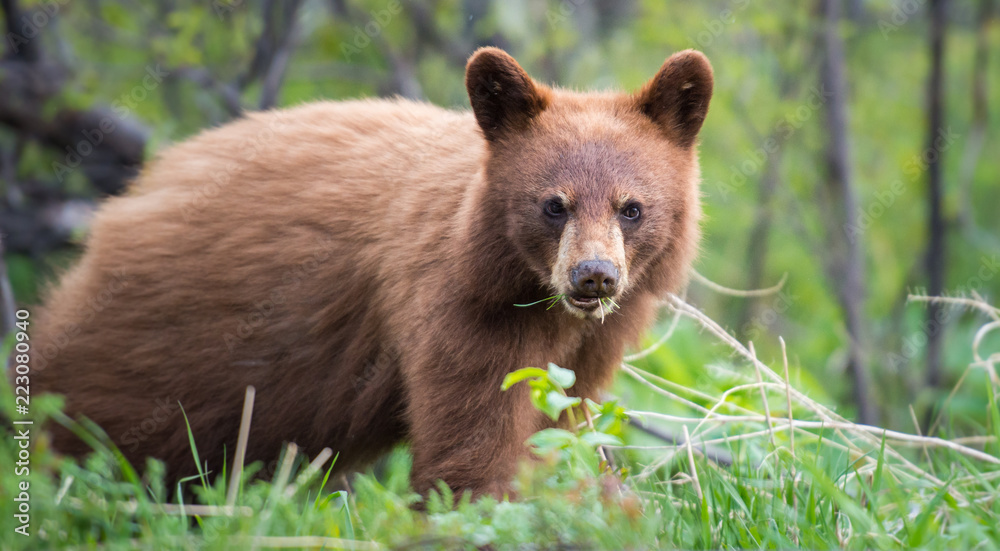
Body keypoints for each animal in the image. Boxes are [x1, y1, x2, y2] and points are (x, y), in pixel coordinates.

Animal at [27, 47, 712, 499]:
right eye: (553, 204)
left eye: (632, 208)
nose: (593, 275)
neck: (532, 294)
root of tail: (134, 193)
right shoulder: (453, 303)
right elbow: (473, 437)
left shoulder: (592, 344)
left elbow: (556, 420)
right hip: (155, 346)